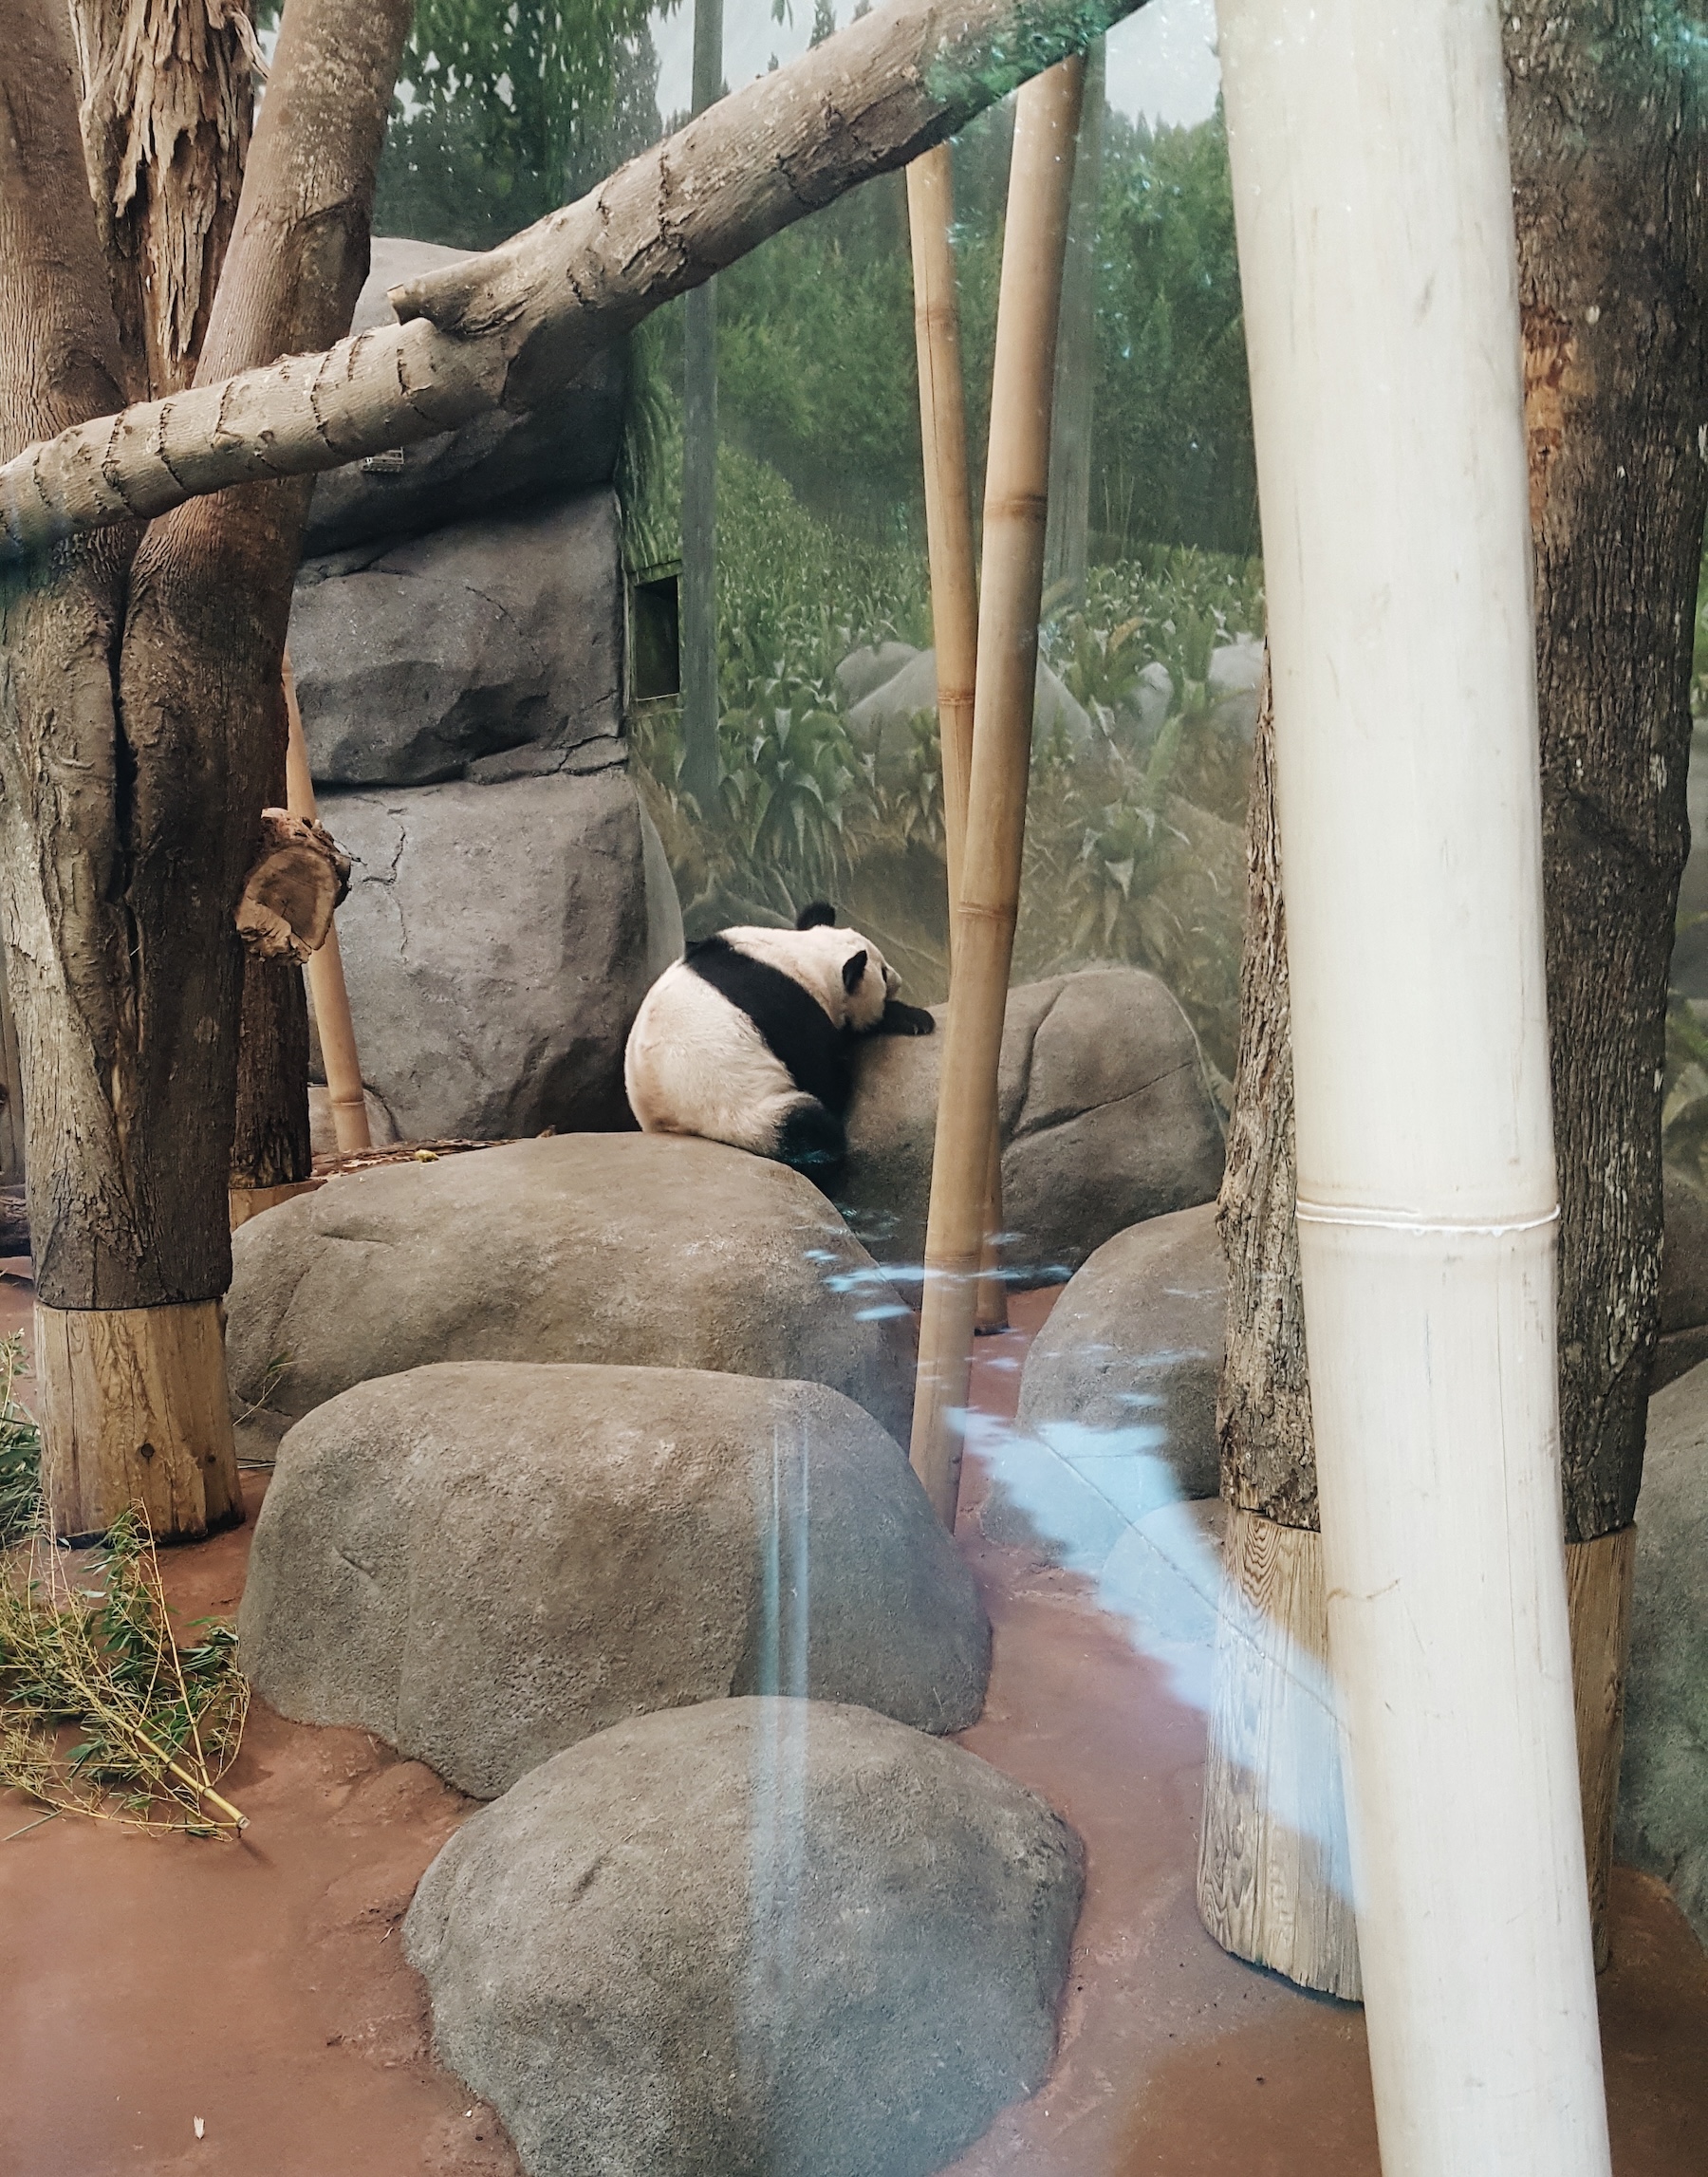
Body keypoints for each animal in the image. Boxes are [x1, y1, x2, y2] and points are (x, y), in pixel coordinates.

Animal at [622, 897, 931, 1183]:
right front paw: (908, 1017)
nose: (898, 979)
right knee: (807, 1128)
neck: (798, 957)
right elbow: (824, 1070)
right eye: (882, 972)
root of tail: (673, 1127)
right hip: (742, 1114)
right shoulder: (786, 1006)